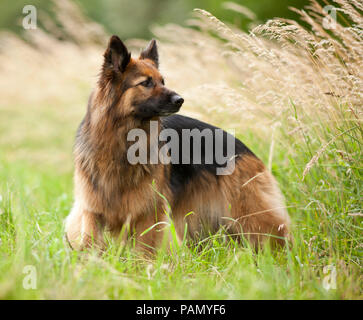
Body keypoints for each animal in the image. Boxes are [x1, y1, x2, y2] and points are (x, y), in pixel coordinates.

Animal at [65, 35, 292, 252]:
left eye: (162, 81)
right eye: (146, 83)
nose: (180, 99)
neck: (121, 141)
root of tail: (245, 150)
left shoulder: (149, 213)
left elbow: (144, 252)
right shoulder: (92, 210)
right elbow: (90, 243)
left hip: (250, 215)